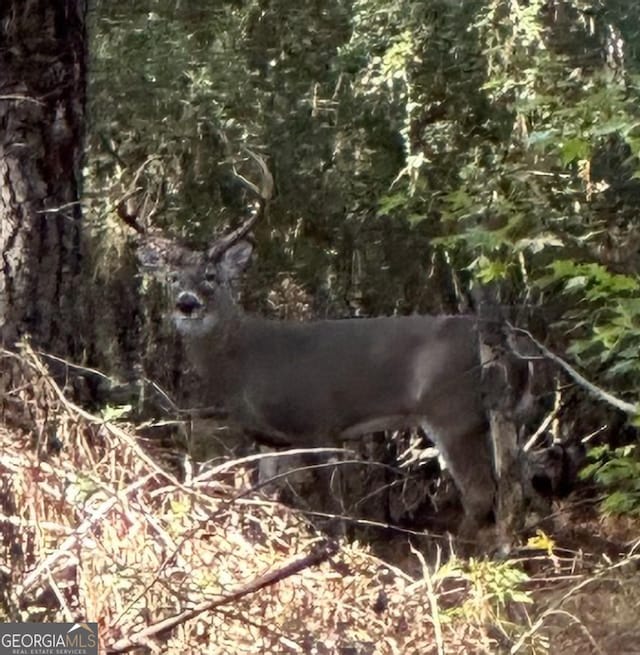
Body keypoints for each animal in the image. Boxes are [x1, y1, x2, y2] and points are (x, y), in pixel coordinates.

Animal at [126, 154, 536, 540]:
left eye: (211, 276)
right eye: (173, 278)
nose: (187, 304)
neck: (245, 362)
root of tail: (516, 349)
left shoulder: (320, 420)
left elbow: (333, 503)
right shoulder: (268, 438)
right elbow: (264, 492)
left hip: (452, 410)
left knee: (481, 492)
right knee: (516, 484)